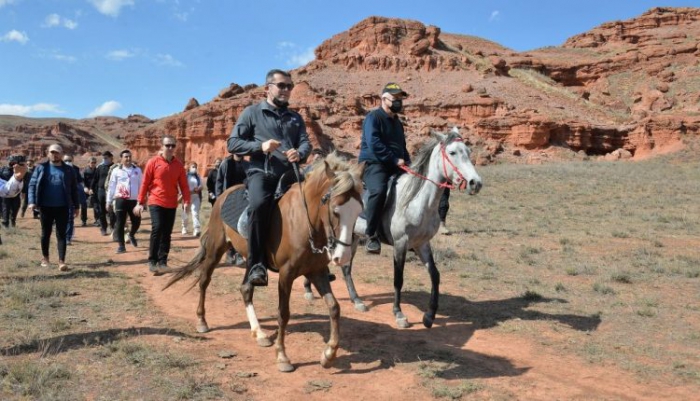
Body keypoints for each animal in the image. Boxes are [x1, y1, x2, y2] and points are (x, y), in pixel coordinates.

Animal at [162, 154, 364, 372]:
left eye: (358, 210)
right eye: (335, 210)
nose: (343, 256)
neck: (304, 222)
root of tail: (224, 194)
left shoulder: (316, 271)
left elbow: (334, 307)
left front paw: (329, 354)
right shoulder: (286, 274)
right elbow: (283, 313)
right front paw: (283, 357)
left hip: (252, 259)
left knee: (245, 289)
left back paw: (259, 333)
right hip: (216, 249)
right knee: (204, 281)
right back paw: (202, 321)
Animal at [304, 127, 484, 328]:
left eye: (468, 151)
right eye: (452, 153)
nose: (475, 183)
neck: (415, 200)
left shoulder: (422, 244)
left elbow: (435, 275)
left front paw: (429, 315)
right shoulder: (400, 243)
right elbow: (398, 279)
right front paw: (399, 314)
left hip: (352, 236)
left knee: (346, 267)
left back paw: (356, 300)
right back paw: (310, 290)